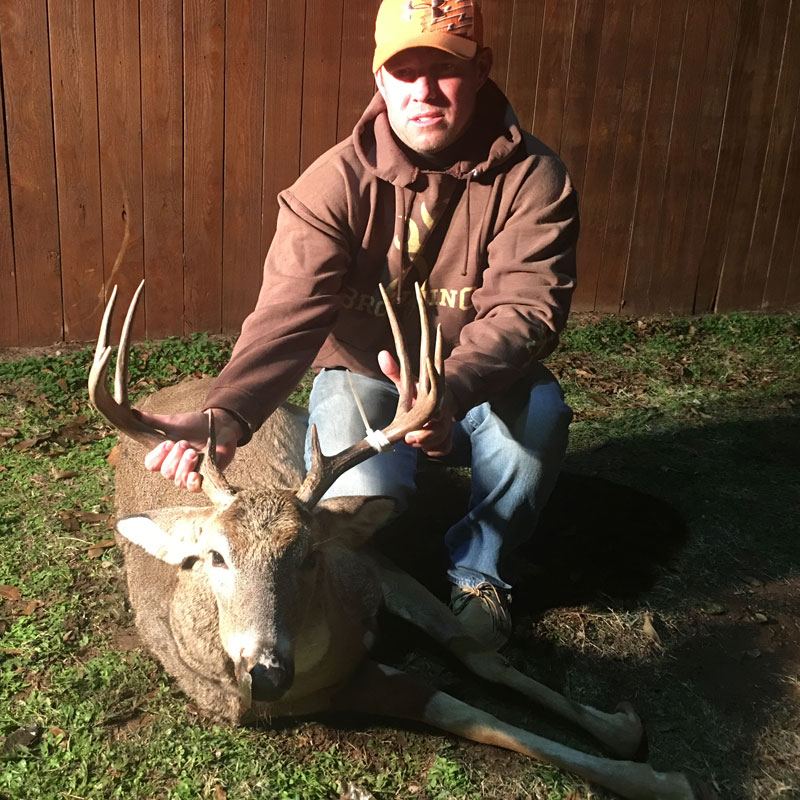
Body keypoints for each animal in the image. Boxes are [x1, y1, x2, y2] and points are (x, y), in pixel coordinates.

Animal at [88, 281, 697, 800]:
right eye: (215, 556)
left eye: (310, 554)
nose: (266, 671)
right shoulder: (336, 690)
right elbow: (475, 718)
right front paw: (659, 779)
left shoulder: (370, 563)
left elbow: (480, 657)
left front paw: (624, 731)